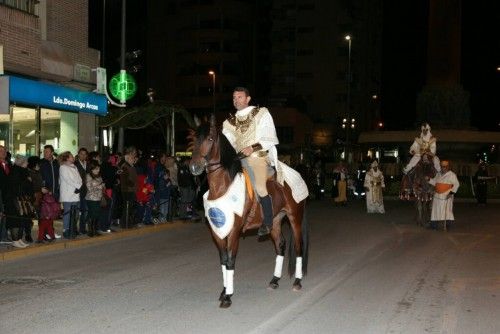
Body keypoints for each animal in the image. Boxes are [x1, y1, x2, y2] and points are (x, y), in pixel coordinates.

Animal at [188, 115, 308, 308]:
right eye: (194, 139)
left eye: (210, 139)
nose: (194, 167)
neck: (222, 187)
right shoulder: (217, 231)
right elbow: (223, 260)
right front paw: (224, 291)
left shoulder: (234, 230)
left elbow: (230, 260)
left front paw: (228, 296)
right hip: (275, 221)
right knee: (280, 245)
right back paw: (274, 280)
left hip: (295, 218)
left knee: (298, 246)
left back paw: (297, 281)